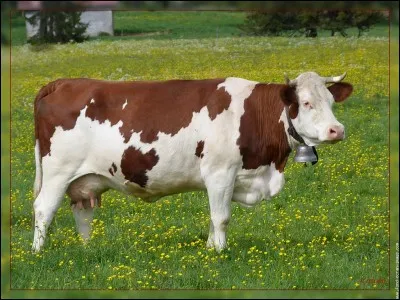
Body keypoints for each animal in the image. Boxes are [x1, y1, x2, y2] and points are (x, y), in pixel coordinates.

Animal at [32, 71, 354, 252]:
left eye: (331, 102)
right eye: (306, 103)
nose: (336, 130)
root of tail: (63, 82)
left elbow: (213, 216)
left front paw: (210, 248)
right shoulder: (220, 172)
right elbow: (221, 216)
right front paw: (220, 252)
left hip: (83, 178)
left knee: (81, 211)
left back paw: (87, 250)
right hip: (57, 171)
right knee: (44, 208)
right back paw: (38, 252)